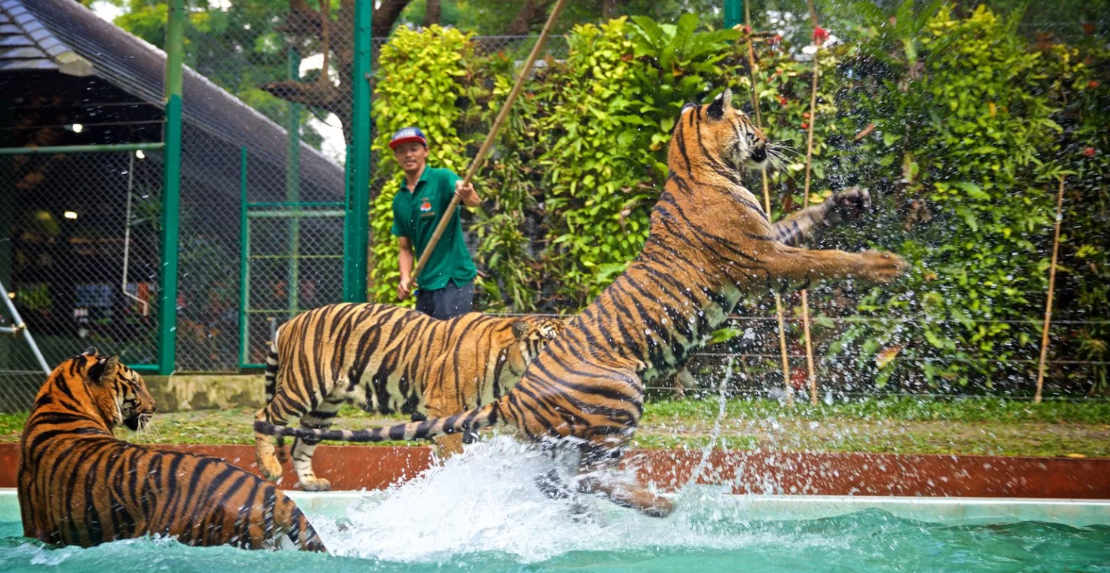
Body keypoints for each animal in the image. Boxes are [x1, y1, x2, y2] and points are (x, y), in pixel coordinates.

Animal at [253, 303, 563, 490]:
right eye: (548, 340)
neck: (510, 367)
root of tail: (290, 322)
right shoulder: (444, 406)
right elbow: (454, 451)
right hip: (302, 386)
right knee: (264, 416)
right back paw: (270, 468)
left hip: (324, 407)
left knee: (302, 443)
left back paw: (311, 483)